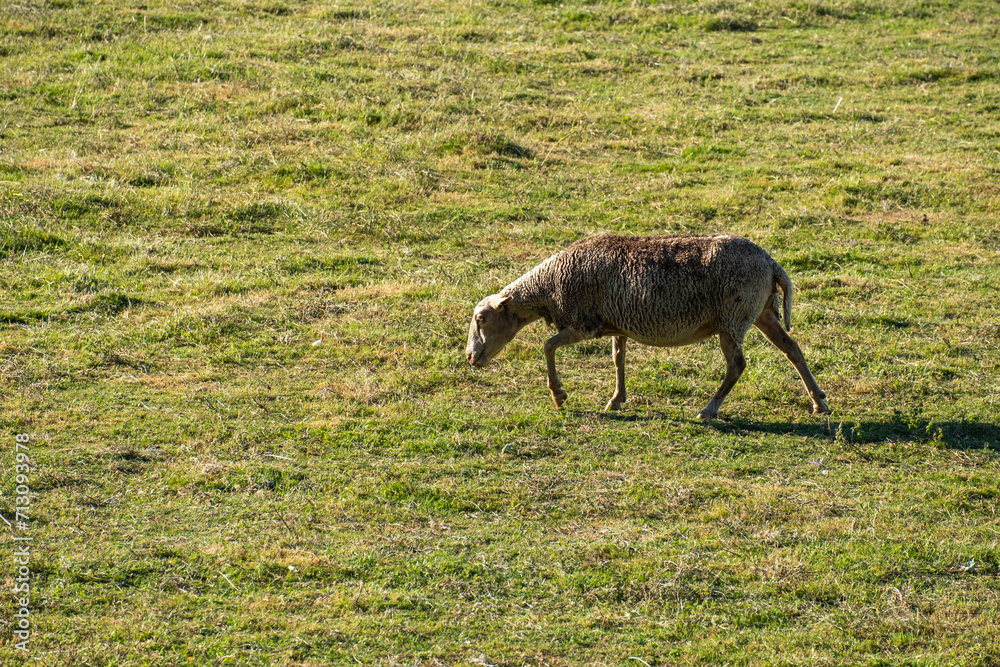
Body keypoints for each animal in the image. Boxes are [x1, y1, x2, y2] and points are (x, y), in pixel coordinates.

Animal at [465, 233, 830, 419]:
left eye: (481, 319)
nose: (470, 357)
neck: (548, 285)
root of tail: (772, 264)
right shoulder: (617, 325)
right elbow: (618, 359)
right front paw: (617, 399)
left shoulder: (584, 323)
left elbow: (548, 346)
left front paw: (559, 395)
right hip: (762, 311)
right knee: (792, 349)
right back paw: (819, 401)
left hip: (733, 317)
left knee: (737, 365)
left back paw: (709, 410)